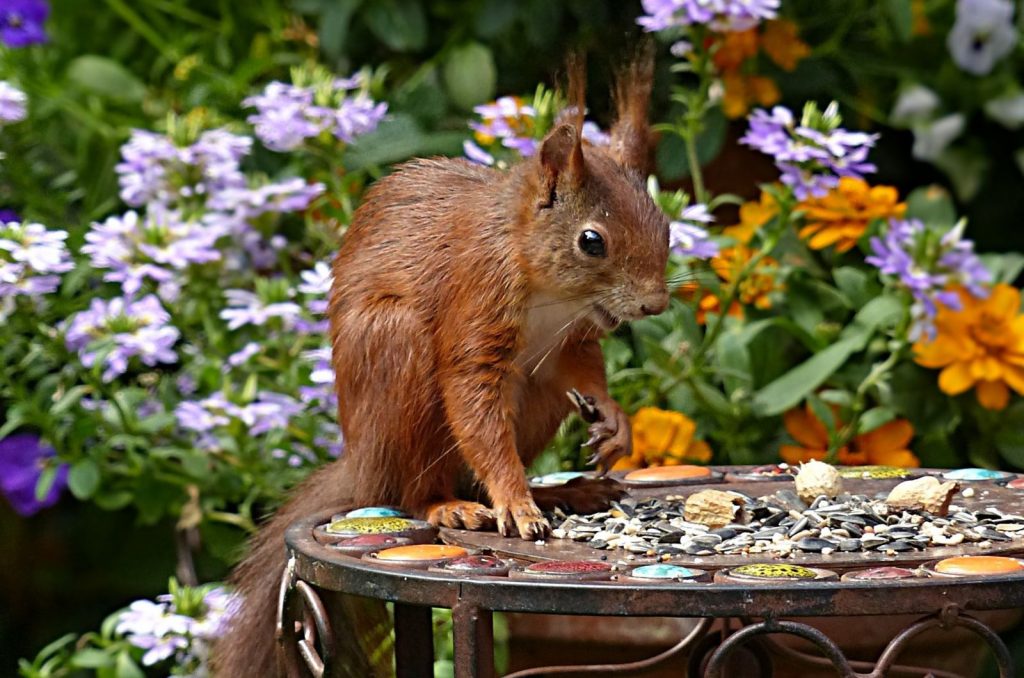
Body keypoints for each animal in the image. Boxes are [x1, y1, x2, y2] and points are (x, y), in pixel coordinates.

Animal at [215, 51, 668, 676]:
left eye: (663, 221)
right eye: (592, 241)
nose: (656, 303)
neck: (551, 292)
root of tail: (362, 463)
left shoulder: (571, 339)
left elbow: (582, 372)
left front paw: (613, 421)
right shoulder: (475, 299)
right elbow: (473, 400)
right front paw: (515, 500)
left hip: (534, 399)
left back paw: (561, 493)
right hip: (396, 354)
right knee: (412, 489)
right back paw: (453, 505)